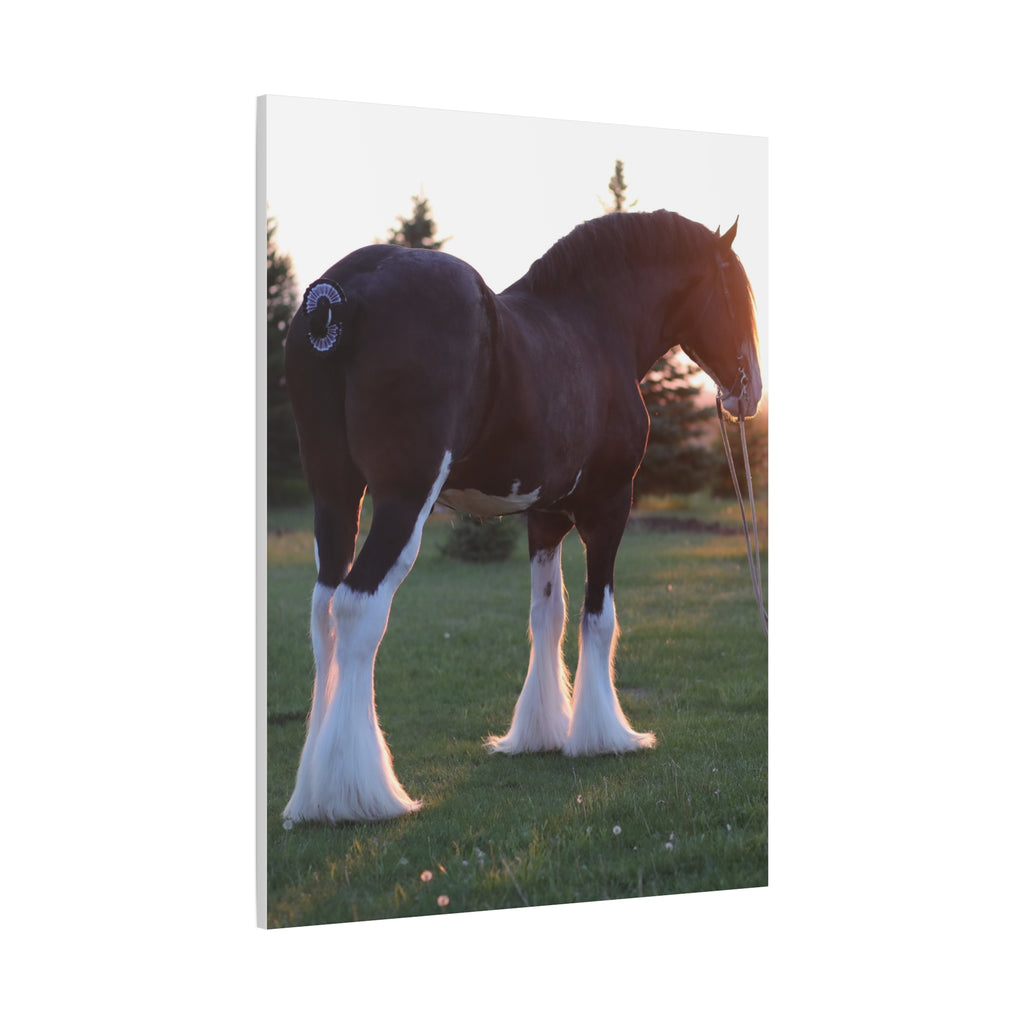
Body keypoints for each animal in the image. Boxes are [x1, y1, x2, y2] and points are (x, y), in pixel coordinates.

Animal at [280, 209, 762, 824]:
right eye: (737, 292)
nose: (750, 392)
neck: (593, 325)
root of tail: (336, 295)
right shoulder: (610, 506)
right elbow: (598, 618)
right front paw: (603, 736)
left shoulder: (545, 516)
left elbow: (547, 616)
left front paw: (541, 732)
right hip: (402, 500)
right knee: (358, 607)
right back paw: (359, 795)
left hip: (336, 495)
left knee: (323, 611)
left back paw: (311, 795)